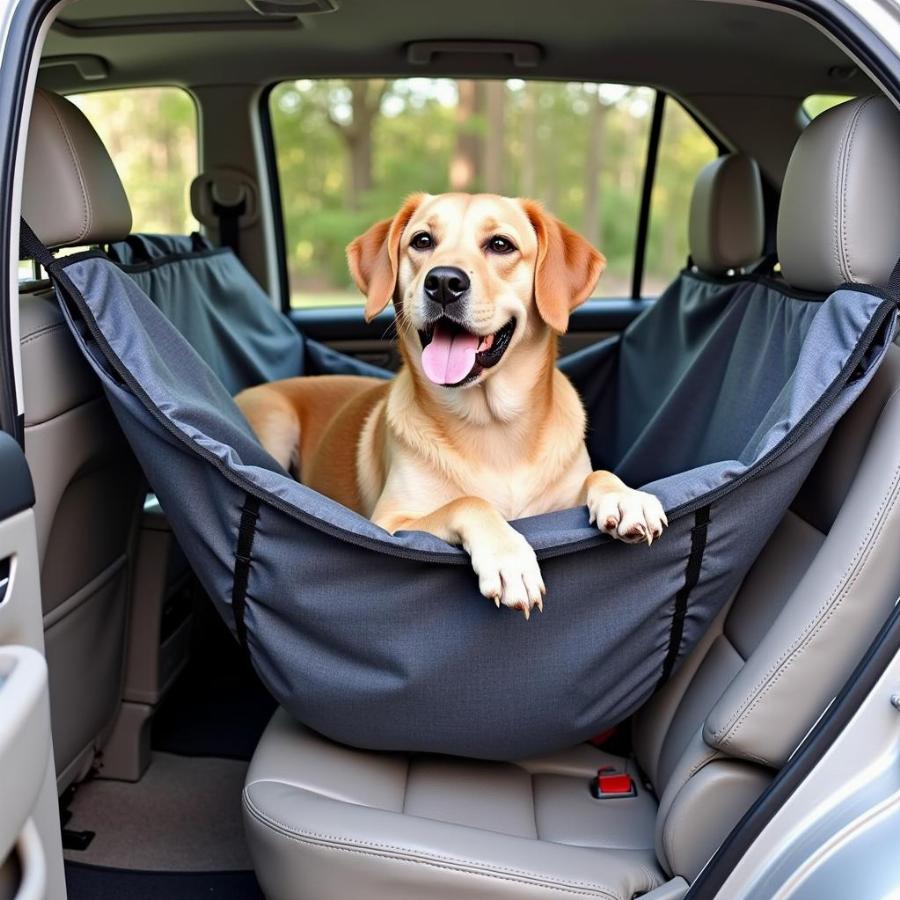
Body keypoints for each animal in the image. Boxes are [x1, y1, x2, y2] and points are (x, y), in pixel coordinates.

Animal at [236, 194, 664, 620]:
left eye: (501, 245)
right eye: (422, 241)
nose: (443, 281)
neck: (495, 428)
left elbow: (599, 475)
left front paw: (626, 497)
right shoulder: (390, 523)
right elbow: (469, 501)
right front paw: (508, 557)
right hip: (276, 420)